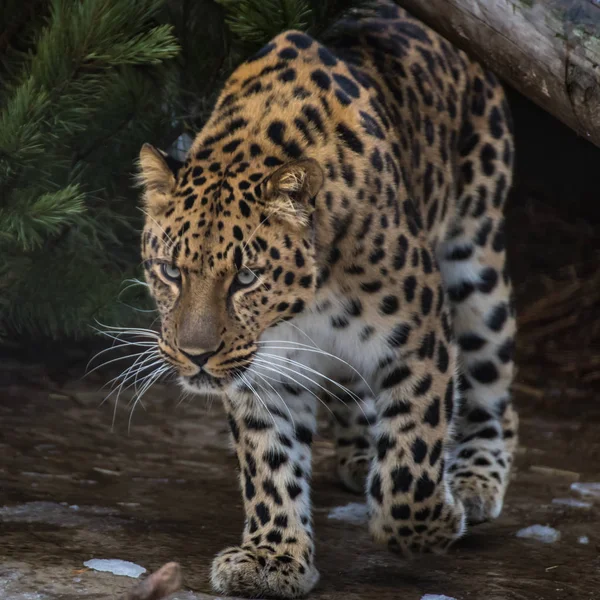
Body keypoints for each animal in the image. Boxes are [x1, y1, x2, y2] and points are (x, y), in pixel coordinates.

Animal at [135, 2, 516, 596]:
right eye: (172, 271)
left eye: (246, 277)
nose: (195, 356)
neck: (305, 305)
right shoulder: (265, 372)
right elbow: (271, 465)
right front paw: (272, 556)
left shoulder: (420, 334)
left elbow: (412, 460)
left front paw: (436, 520)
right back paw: (361, 450)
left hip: (476, 253)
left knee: (493, 379)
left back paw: (475, 477)